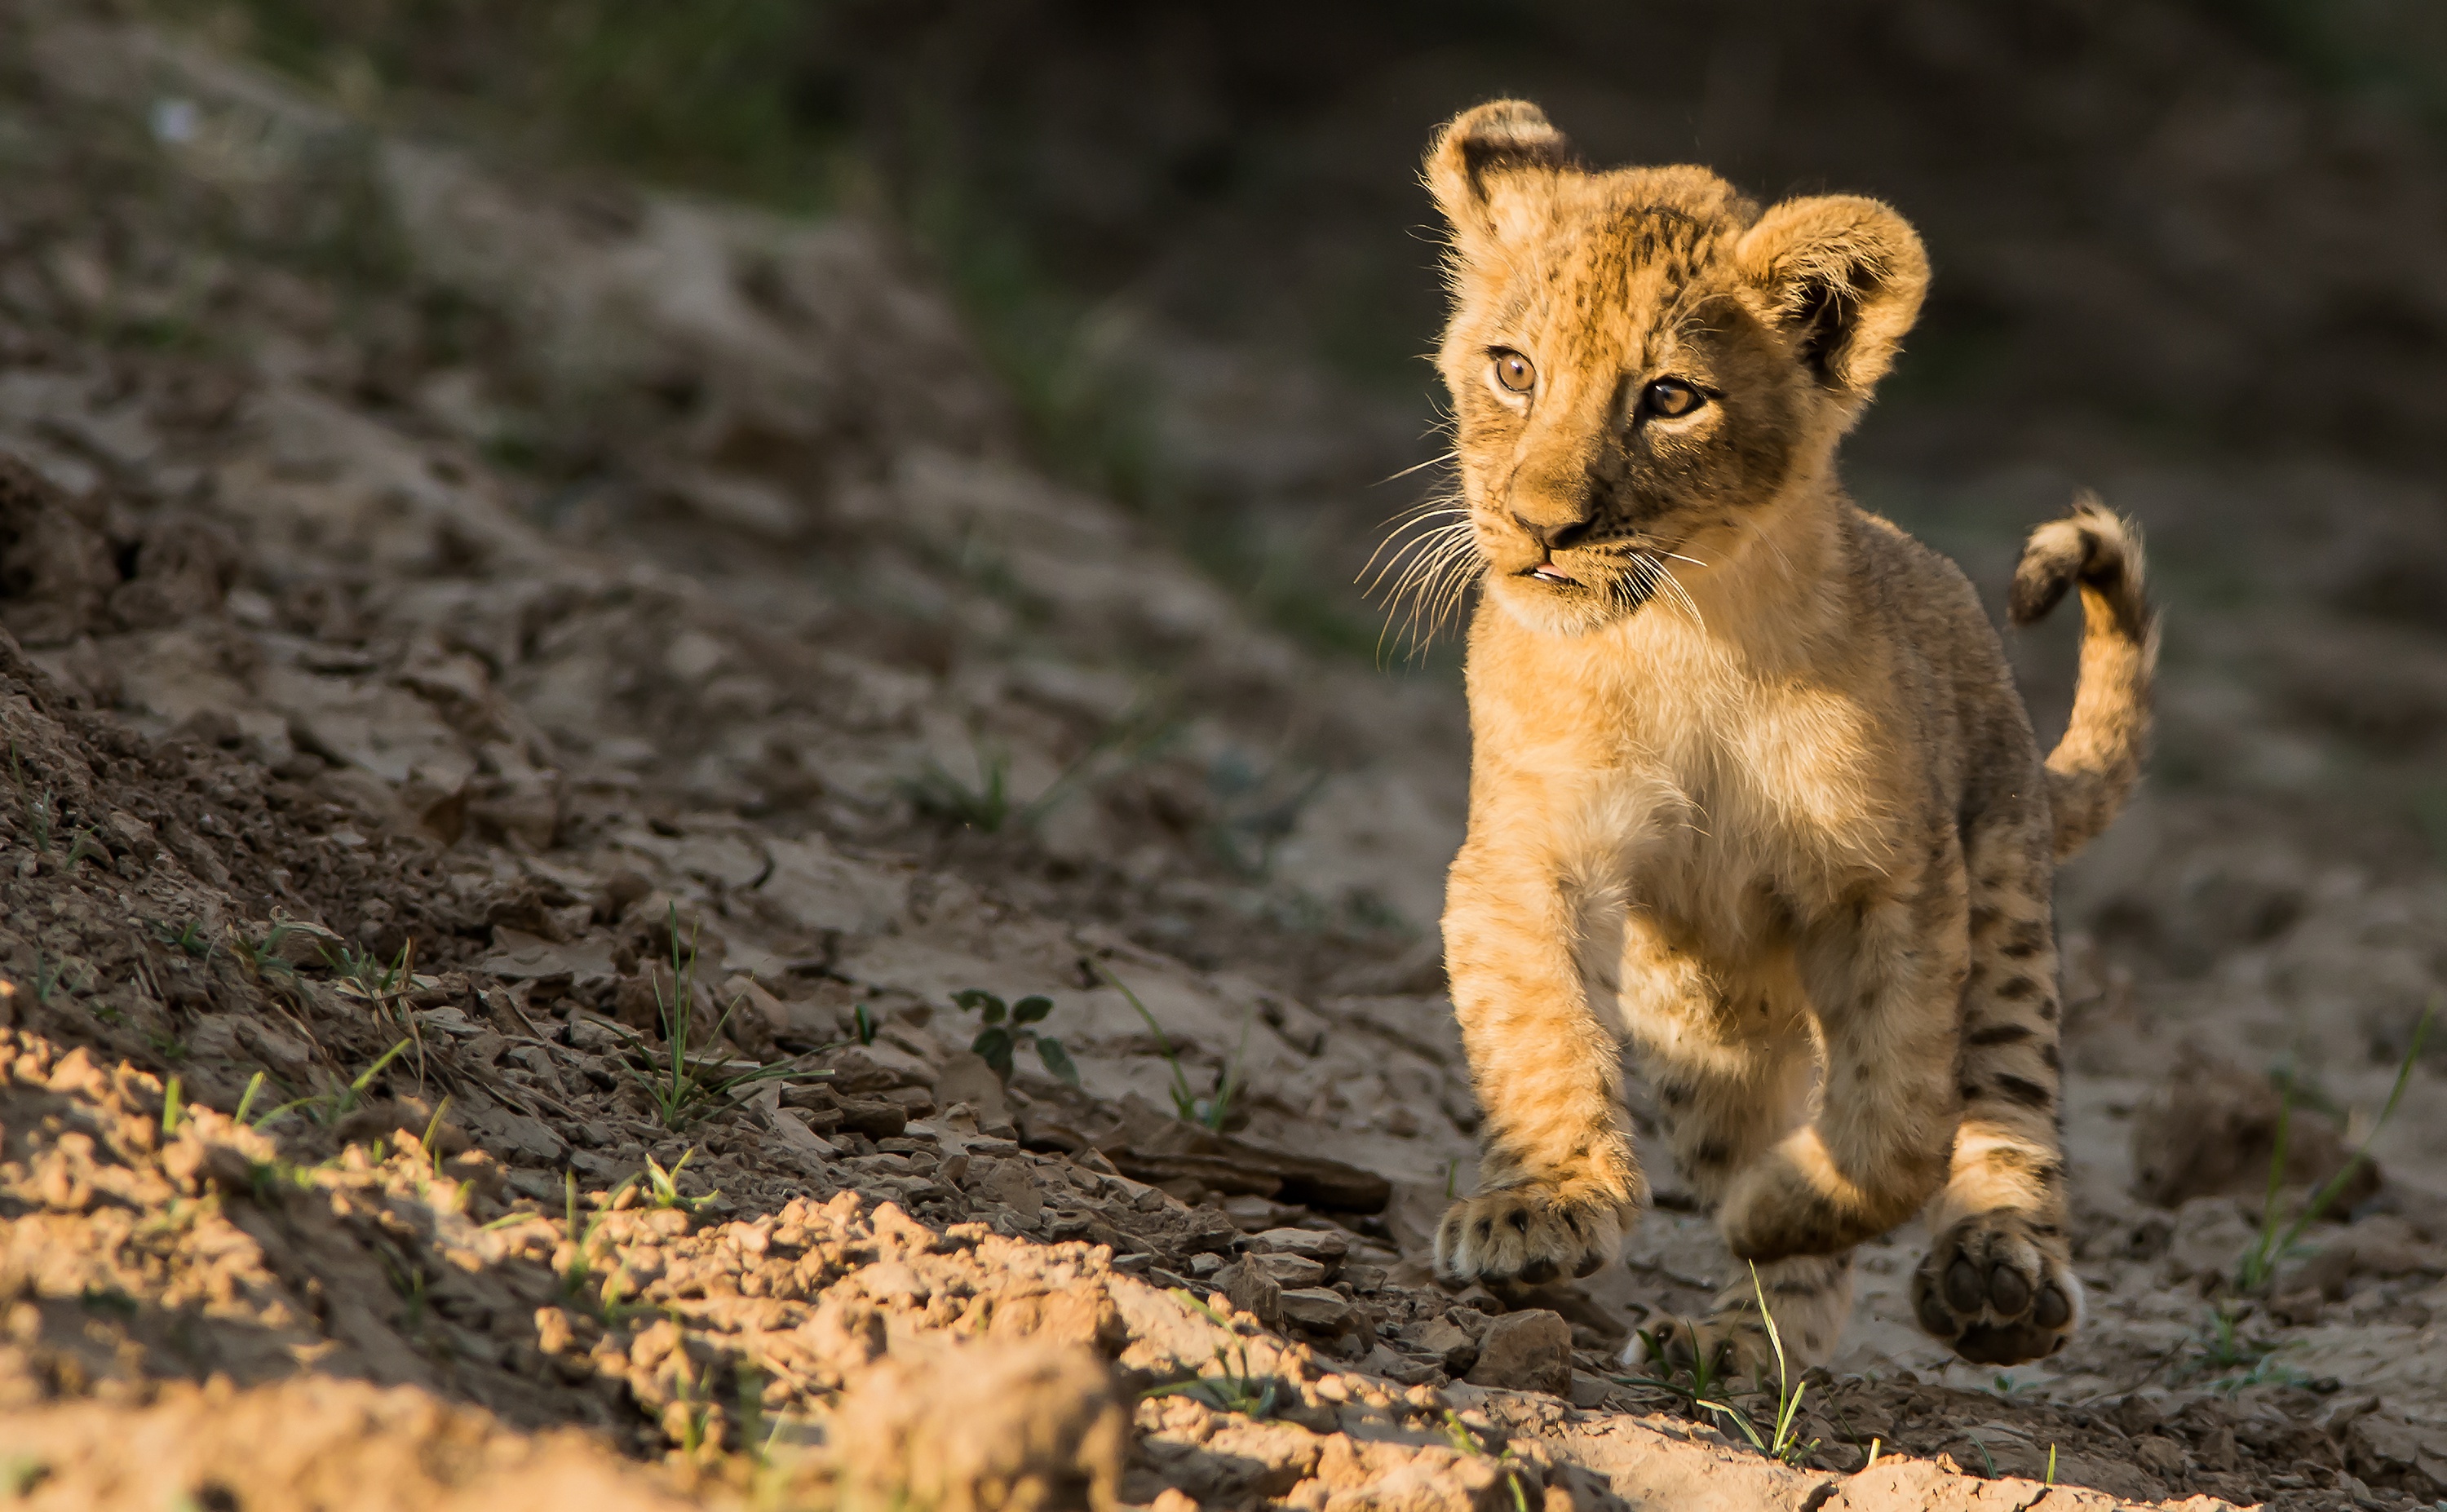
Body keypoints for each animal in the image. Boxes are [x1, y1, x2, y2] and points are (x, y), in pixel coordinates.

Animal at [1409, 100, 2155, 1373]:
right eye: (1513, 369)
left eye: (1670, 398)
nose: (1541, 527)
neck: (1687, 635)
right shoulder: (1528, 849)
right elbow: (1541, 1033)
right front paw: (1544, 1205)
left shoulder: (1895, 882)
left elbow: (1901, 1120)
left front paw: (1788, 1199)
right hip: (1696, 1012)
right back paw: (1738, 1344)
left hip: (2004, 882)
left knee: (2006, 1096)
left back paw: (1996, 1275)